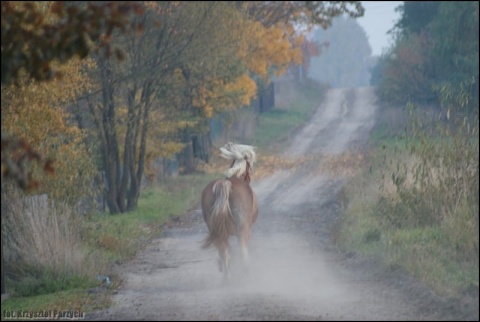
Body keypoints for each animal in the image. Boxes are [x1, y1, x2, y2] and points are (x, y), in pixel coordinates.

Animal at [200, 142, 256, 282]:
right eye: (250, 167)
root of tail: (225, 184)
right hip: (242, 228)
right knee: (242, 249)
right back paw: (246, 272)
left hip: (216, 229)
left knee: (223, 250)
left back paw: (227, 277)